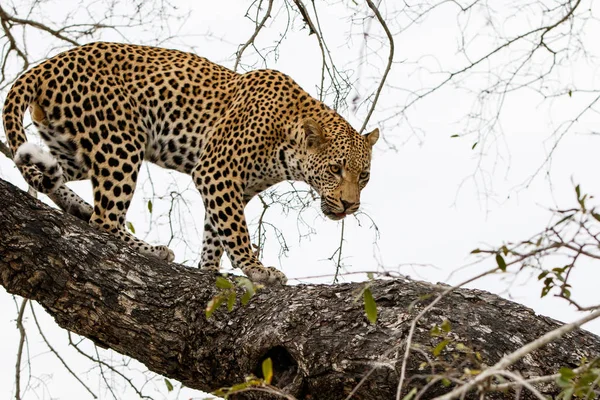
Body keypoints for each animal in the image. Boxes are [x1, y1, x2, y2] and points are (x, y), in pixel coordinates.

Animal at [3, 42, 380, 286]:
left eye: (363, 176)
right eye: (334, 170)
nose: (350, 205)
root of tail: (47, 64)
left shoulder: (234, 187)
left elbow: (216, 230)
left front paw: (207, 269)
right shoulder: (216, 170)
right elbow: (236, 230)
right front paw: (256, 268)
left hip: (76, 146)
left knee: (51, 178)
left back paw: (81, 208)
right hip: (121, 144)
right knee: (105, 222)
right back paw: (148, 249)